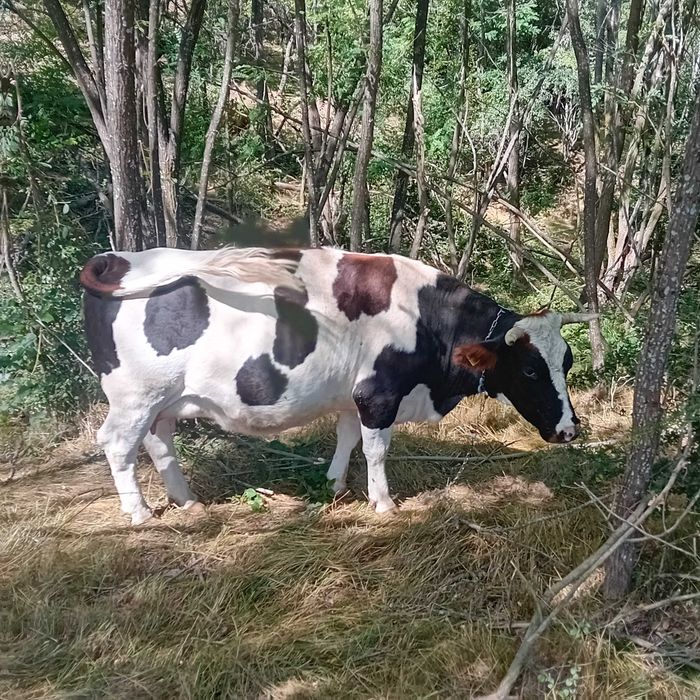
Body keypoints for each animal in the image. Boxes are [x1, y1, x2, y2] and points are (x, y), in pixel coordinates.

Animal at [80, 246, 595, 525]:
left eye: (567, 362)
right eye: (530, 371)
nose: (569, 429)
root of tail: (118, 258)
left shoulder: (354, 397)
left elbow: (347, 439)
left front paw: (335, 485)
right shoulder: (378, 394)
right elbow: (377, 450)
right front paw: (383, 502)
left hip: (162, 401)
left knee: (160, 443)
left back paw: (186, 501)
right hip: (134, 397)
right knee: (118, 445)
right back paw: (139, 513)